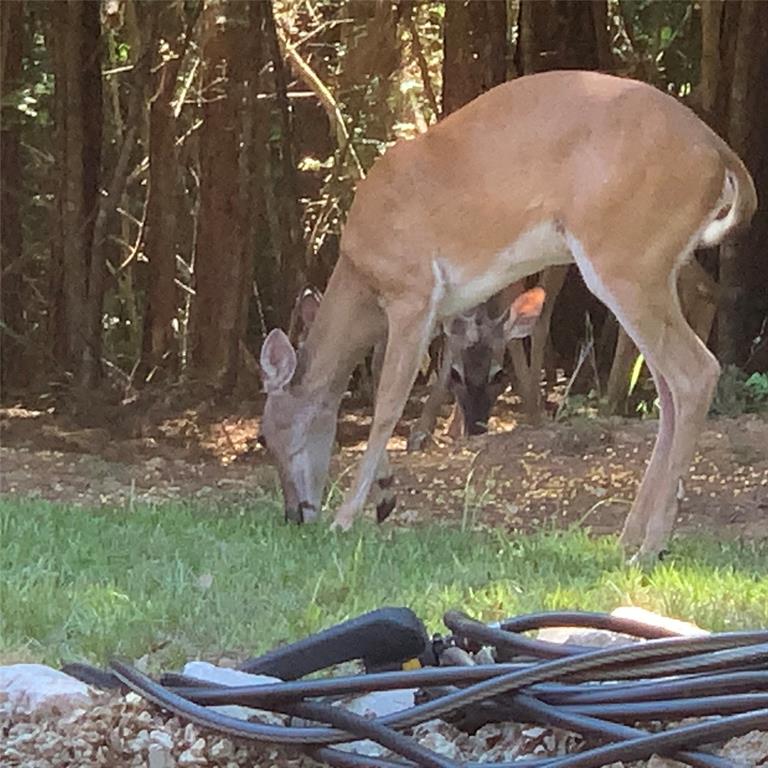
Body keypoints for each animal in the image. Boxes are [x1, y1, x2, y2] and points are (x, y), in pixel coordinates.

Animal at [258, 70, 756, 560]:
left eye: (266, 435)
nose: (293, 513)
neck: (361, 275)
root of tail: (720, 152)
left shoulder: (411, 291)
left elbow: (386, 403)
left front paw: (346, 517)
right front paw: (384, 495)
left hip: (626, 257)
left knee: (695, 372)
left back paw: (650, 546)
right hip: (649, 267)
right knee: (669, 388)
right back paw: (629, 538)